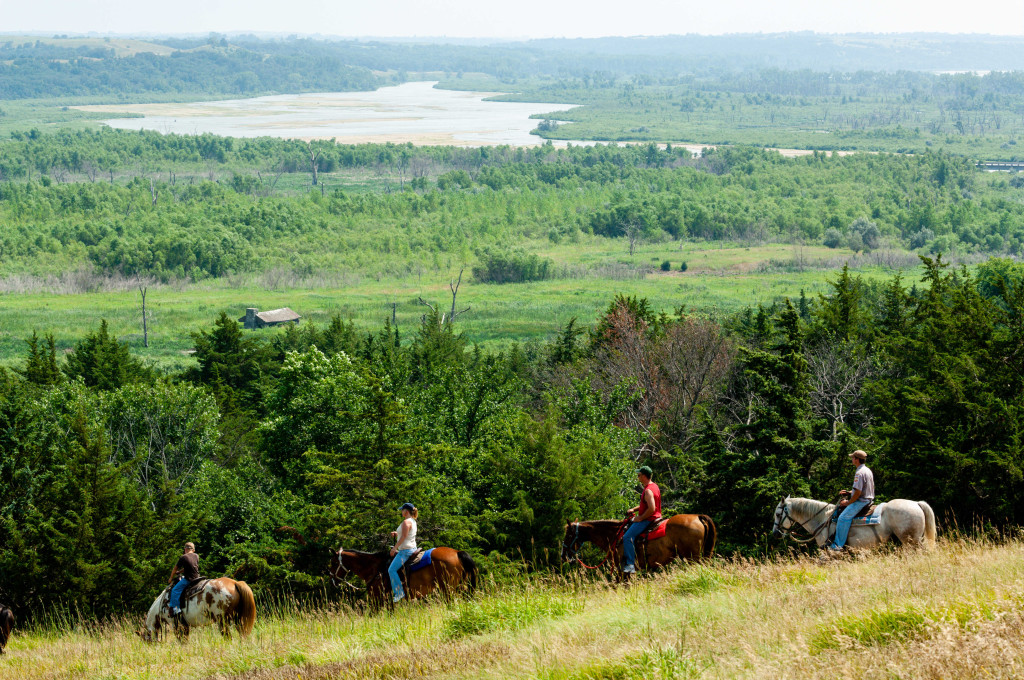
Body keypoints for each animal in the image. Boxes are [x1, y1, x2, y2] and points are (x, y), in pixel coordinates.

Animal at [327, 544, 479, 606]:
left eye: (333, 562)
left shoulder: (378, 598)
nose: (332, 581)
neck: (376, 568)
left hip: (448, 589)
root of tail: (457, 552)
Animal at [565, 516, 716, 573]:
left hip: (693, 558)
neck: (615, 535)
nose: (564, 555)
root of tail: (698, 517)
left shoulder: (622, 568)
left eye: (568, 535)